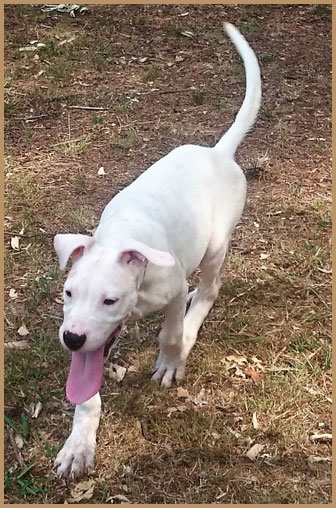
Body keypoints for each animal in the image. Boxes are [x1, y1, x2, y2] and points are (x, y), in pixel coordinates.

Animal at [53, 22, 262, 476]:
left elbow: (170, 331)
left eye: (110, 300)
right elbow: (86, 393)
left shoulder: (171, 290)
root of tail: (218, 153)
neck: (121, 240)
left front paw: (172, 359)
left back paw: (191, 328)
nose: (72, 339)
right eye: (68, 293)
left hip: (215, 246)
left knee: (207, 291)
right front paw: (79, 444)